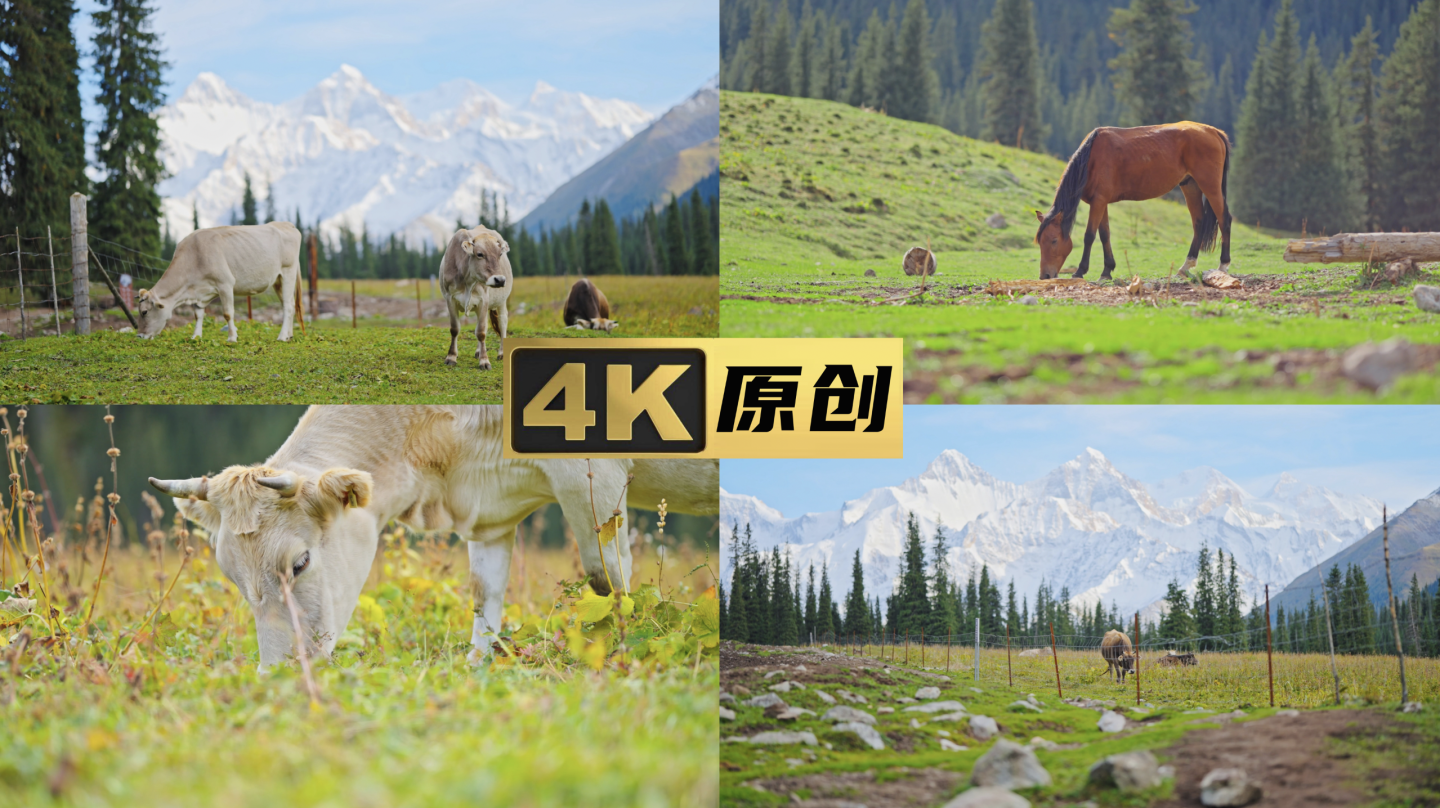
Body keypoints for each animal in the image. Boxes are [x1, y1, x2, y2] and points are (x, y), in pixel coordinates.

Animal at [135, 221, 303, 341]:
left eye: (144, 312)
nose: (140, 336)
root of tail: (286, 224)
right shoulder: (199, 293)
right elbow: (198, 315)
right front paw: (196, 337)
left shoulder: (225, 284)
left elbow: (228, 313)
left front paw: (232, 337)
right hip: (277, 280)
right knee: (290, 304)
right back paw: (289, 335)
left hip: (288, 272)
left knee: (288, 306)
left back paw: (282, 337)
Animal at [149, 406, 720, 671]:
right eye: (233, 578)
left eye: (301, 562)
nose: (282, 672)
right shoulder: (492, 516)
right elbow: (484, 598)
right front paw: (477, 667)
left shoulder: (594, 475)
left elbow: (609, 582)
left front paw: (625, 653)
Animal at [1036, 120, 1226, 282]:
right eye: (1040, 241)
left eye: (1054, 240)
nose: (1045, 276)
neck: (1090, 159)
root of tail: (1214, 131)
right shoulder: (1100, 202)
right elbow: (1105, 234)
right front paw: (1107, 271)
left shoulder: (1098, 202)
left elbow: (1089, 236)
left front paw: (1080, 271)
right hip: (1190, 185)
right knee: (1198, 222)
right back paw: (1186, 266)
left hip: (1210, 186)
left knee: (1224, 219)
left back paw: (1223, 265)